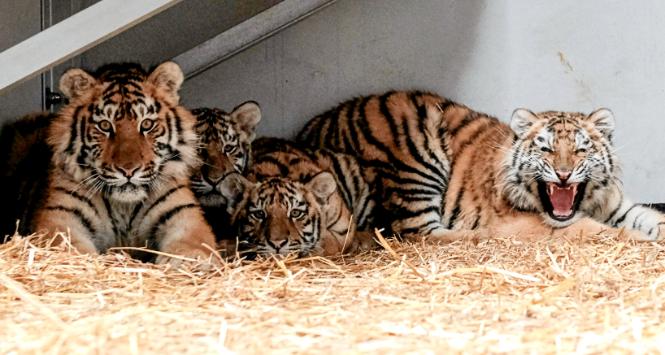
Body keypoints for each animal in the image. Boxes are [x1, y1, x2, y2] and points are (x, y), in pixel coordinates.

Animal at [31, 62, 218, 268]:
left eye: (147, 124)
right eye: (105, 125)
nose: (128, 170)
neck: (124, 208)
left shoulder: (184, 215)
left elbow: (192, 248)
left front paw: (186, 261)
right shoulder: (61, 216)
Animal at [296, 90, 664, 243]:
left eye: (580, 149)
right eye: (545, 148)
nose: (563, 174)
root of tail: (312, 128)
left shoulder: (618, 206)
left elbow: (651, 218)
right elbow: (594, 230)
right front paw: (640, 241)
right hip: (416, 165)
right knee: (422, 235)